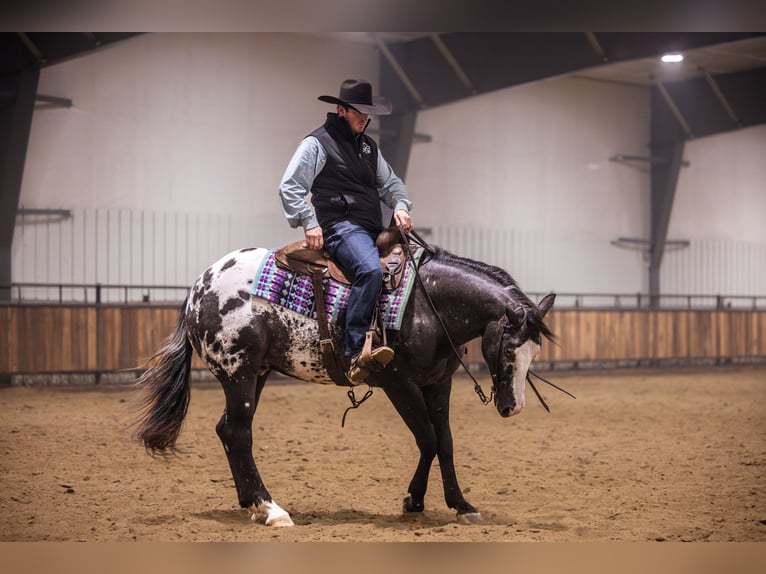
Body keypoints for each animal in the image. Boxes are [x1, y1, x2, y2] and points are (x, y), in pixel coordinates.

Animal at [132, 242, 556, 526]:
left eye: (535, 353)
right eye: (508, 350)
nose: (513, 407)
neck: (427, 303)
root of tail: (200, 285)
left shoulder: (439, 382)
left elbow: (445, 442)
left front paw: (460, 505)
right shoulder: (398, 382)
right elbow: (428, 439)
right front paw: (415, 501)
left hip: (257, 373)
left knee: (227, 430)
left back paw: (250, 503)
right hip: (239, 371)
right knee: (239, 434)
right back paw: (271, 508)